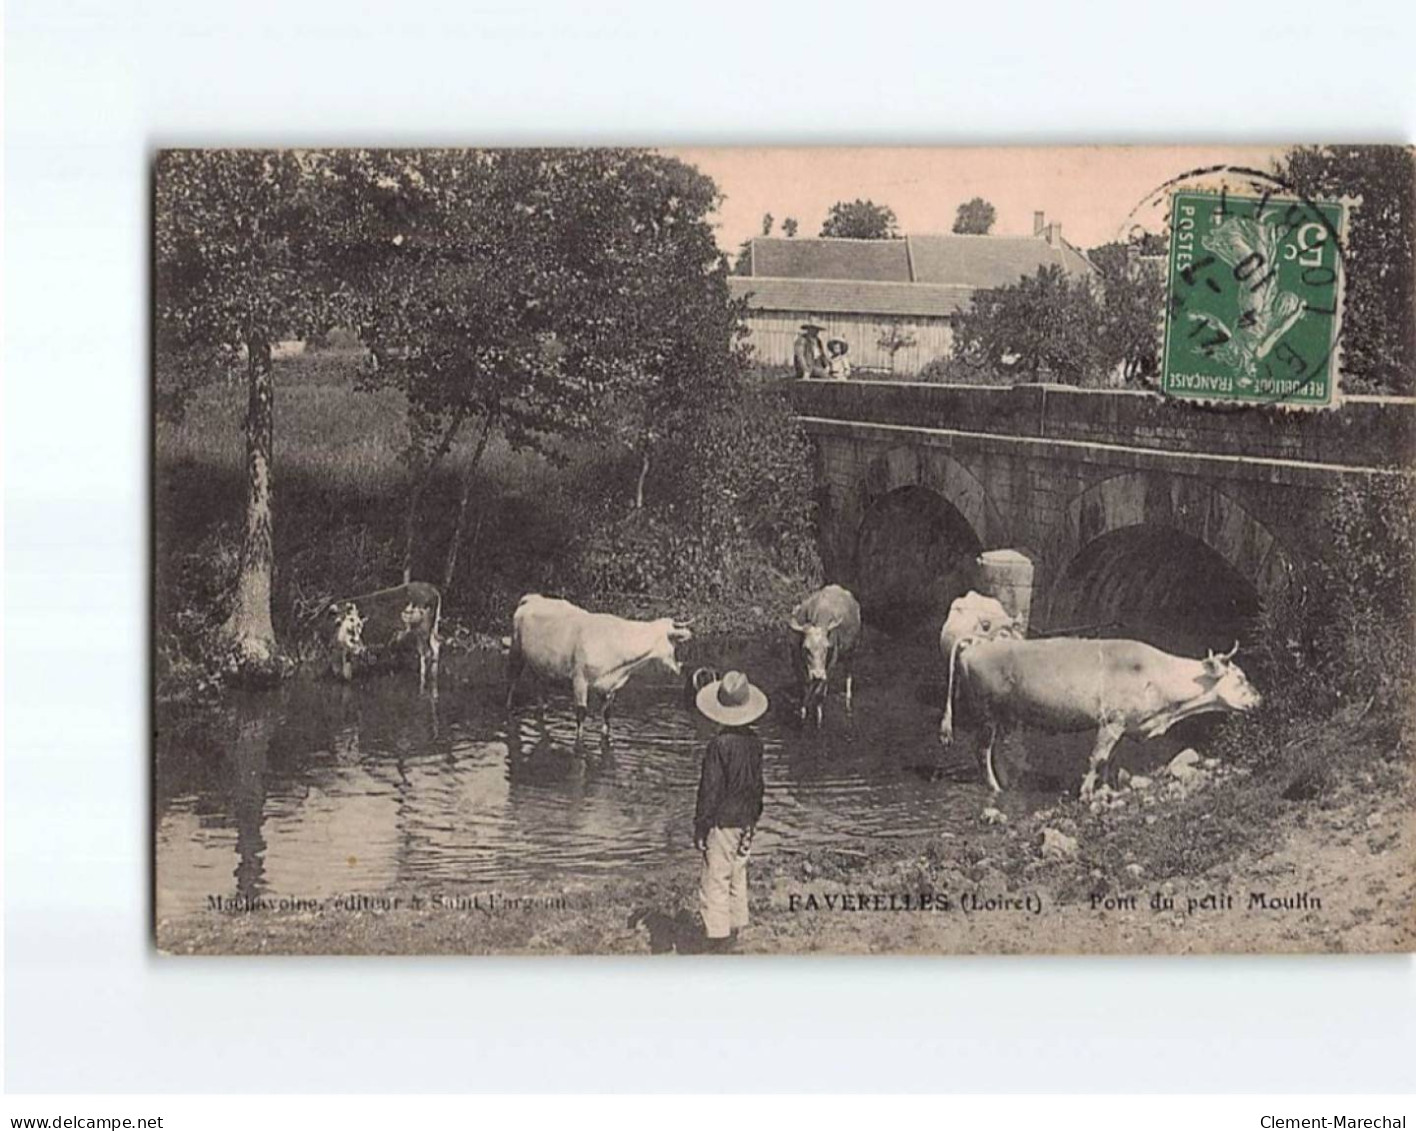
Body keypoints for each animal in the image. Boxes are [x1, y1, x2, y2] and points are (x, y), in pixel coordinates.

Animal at [506, 591, 693, 741]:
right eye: (675, 641)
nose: (680, 667)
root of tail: (533, 597)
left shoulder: (610, 686)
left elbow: (607, 717)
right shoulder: (579, 679)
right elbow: (581, 714)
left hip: (542, 668)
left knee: (540, 693)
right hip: (516, 652)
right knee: (512, 683)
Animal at [787, 583, 860, 724]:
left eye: (826, 648)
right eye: (806, 648)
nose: (818, 675)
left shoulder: (831, 663)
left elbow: (819, 694)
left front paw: (818, 717)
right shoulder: (796, 663)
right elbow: (803, 691)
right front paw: (802, 713)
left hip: (851, 652)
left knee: (848, 676)